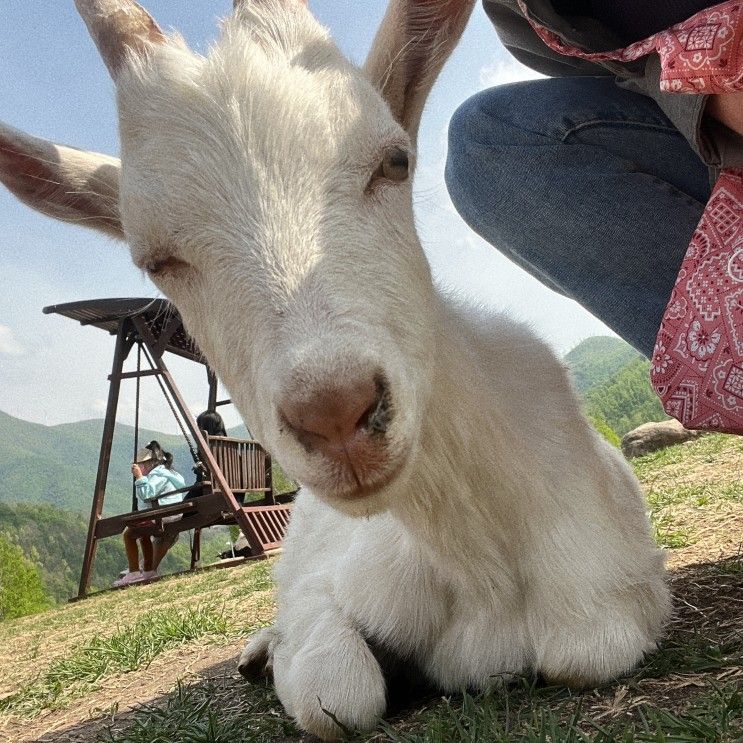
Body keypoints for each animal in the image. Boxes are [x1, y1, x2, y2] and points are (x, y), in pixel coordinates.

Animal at [0, 1, 672, 740]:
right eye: (154, 258)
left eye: (395, 160)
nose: (334, 413)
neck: (476, 559)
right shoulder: (322, 589)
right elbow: (338, 694)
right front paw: (287, 659)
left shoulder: (609, 595)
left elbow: (586, 650)